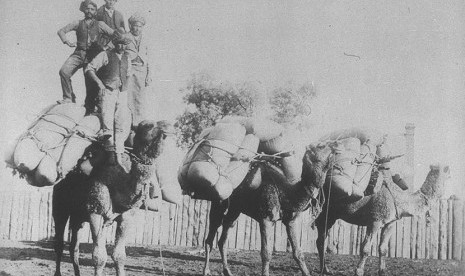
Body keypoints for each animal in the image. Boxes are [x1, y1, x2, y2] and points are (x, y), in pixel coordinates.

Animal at [51, 120, 174, 276]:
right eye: (147, 125)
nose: (168, 127)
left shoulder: (126, 216)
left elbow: (119, 255)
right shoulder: (95, 212)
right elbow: (99, 257)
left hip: (78, 216)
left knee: (74, 246)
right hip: (60, 207)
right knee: (59, 243)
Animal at [203, 141, 338, 276]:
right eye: (321, 145)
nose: (336, 144)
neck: (287, 192)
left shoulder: (291, 220)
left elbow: (298, 253)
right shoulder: (266, 219)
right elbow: (266, 253)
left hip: (235, 209)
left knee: (224, 237)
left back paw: (227, 271)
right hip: (218, 203)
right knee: (210, 237)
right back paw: (206, 270)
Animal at [316, 162, 450, 276]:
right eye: (448, 171)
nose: (450, 174)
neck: (399, 198)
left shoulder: (390, 222)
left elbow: (383, 248)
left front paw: (382, 271)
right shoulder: (375, 220)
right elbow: (365, 248)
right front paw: (359, 271)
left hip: (331, 216)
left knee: (321, 239)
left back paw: (325, 270)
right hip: (323, 212)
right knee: (321, 240)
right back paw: (325, 269)